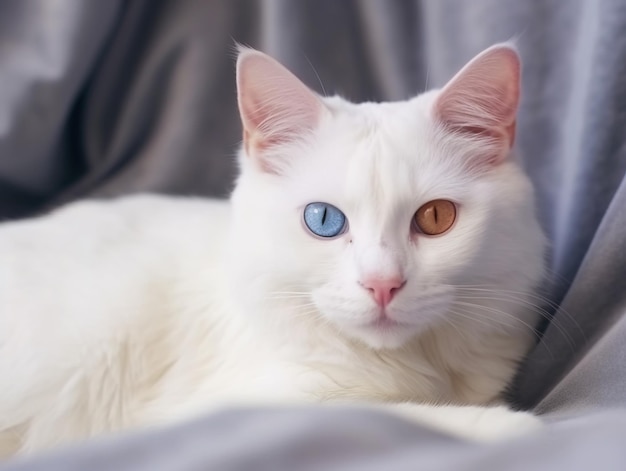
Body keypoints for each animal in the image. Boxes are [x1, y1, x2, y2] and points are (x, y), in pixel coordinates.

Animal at [0, 43, 544, 458]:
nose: (382, 284)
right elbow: (395, 415)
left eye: (434, 219)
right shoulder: (237, 410)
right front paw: (512, 425)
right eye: (323, 220)